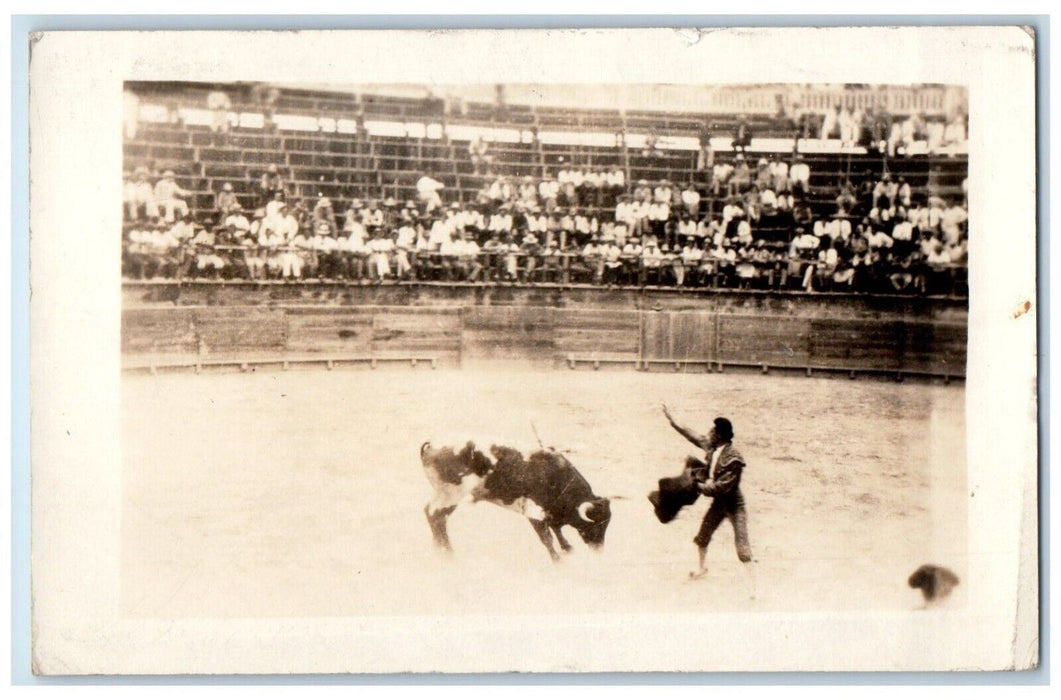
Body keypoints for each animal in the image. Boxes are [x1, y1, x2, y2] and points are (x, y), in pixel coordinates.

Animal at [418, 441, 611, 560]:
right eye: (595, 524)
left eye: (606, 524)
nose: (599, 549)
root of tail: (430, 447)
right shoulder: (533, 512)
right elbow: (547, 537)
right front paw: (557, 560)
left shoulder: (550, 513)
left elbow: (556, 529)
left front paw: (567, 548)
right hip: (450, 495)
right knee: (435, 515)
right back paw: (447, 552)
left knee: (435, 516)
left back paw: (441, 550)